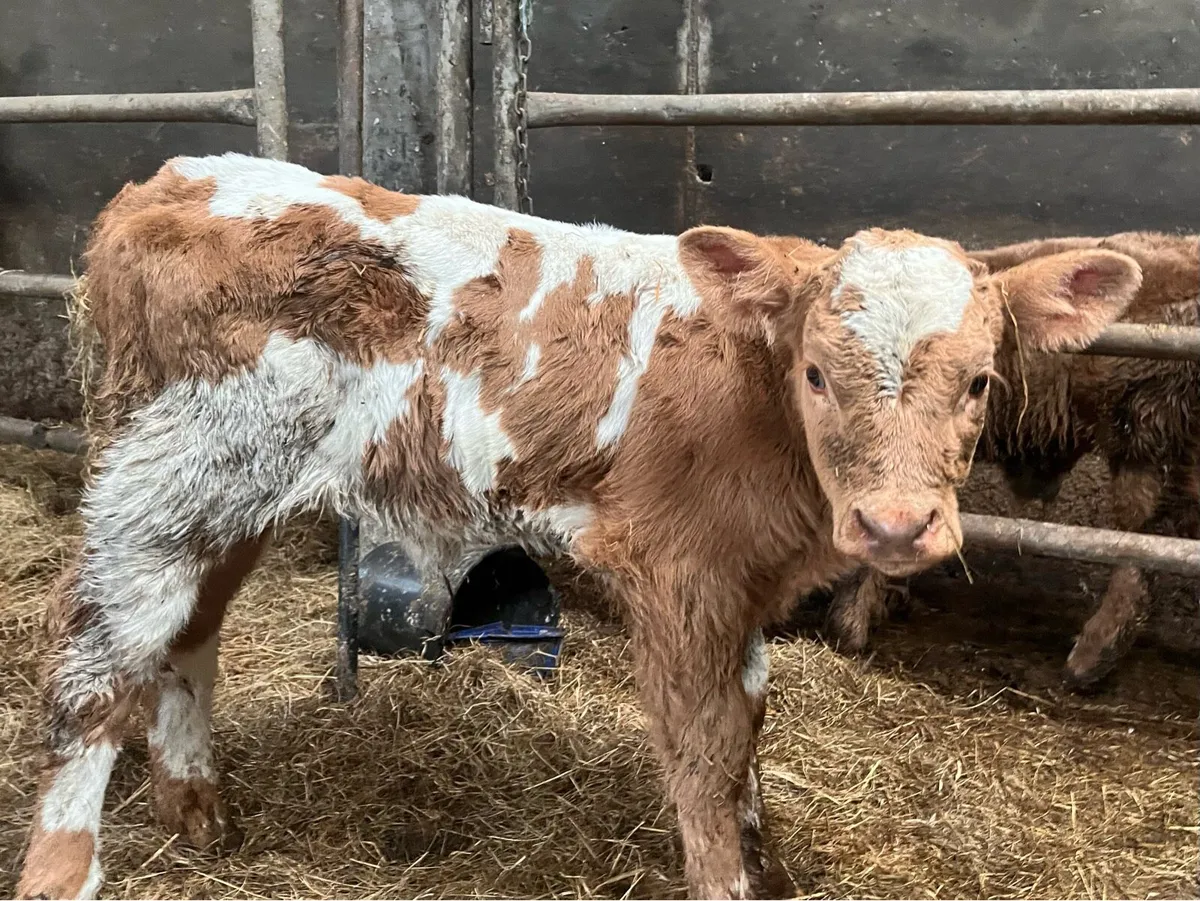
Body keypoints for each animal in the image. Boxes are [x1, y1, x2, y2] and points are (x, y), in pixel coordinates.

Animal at [14, 153, 1143, 900]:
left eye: (981, 381)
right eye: (819, 372)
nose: (898, 525)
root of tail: (169, 181)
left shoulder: (741, 588)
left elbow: (749, 726)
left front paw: (763, 859)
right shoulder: (684, 576)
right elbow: (704, 747)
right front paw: (725, 878)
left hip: (228, 493)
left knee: (189, 634)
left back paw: (199, 811)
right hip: (168, 471)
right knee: (92, 663)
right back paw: (64, 868)